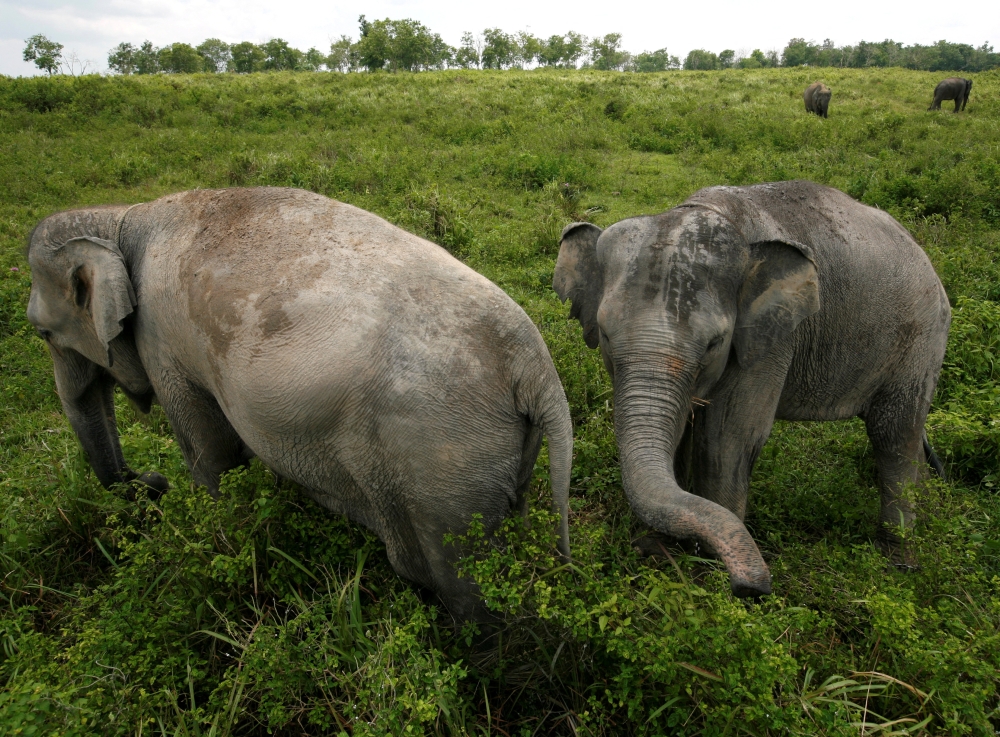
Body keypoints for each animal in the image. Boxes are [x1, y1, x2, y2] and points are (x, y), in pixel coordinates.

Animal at [26, 187, 573, 621]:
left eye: (42, 333)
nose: (152, 482)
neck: (118, 218)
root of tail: (536, 367)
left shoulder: (163, 343)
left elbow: (210, 455)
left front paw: (217, 525)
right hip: (491, 459)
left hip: (443, 463)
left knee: (462, 584)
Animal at [554, 180, 950, 598]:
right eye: (605, 335)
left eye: (714, 344)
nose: (754, 586)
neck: (705, 211)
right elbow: (680, 431)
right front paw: (661, 550)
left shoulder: (772, 339)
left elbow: (727, 438)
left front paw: (707, 576)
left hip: (921, 340)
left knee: (893, 436)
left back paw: (898, 563)